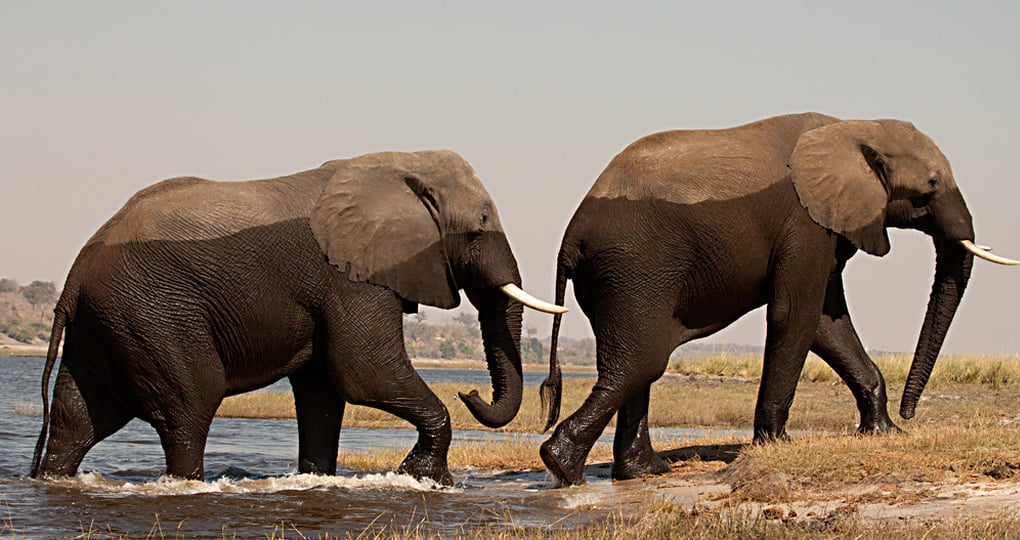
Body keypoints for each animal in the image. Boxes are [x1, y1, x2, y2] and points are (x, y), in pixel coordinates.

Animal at [29, 150, 566, 485]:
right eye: (478, 228)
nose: (469, 392)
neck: (402, 164)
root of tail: (74, 278)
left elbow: (324, 391)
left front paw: (318, 479)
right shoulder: (348, 276)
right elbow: (364, 373)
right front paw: (424, 479)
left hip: (112, 322)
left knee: (79, 417)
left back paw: (51, 478)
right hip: (152, 313)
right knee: (189, 408)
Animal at [538, 113, 1018, 486]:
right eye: (932, 184)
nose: (912, 413)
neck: (856, 127)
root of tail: (569, 238)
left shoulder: (827, 226)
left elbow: (827, 322)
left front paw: (885, 433)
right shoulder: (805, 222)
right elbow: (796, 315)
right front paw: (776, 445)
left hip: (621, 278)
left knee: (639, 364)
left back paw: (643, 472)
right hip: (635, 267)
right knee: (641, 362)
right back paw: (562, 467)